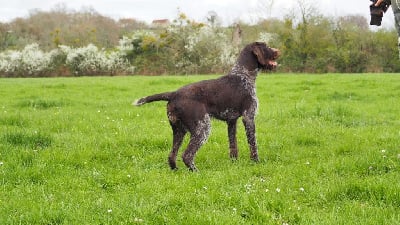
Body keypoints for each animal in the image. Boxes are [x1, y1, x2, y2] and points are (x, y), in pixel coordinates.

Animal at [134, 42, 278, 171]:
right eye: (266, 46)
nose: (278, 51)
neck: (243, 75)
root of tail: (173, 94)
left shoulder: (231, 121)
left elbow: (233, 145)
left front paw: (234, 163)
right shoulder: (248, 117)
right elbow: (253, 144)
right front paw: (256, 162)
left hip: (179, 130)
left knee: (172, 155)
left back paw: (176, 170)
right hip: (202, 128)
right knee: (187, 155)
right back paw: (196, 172)